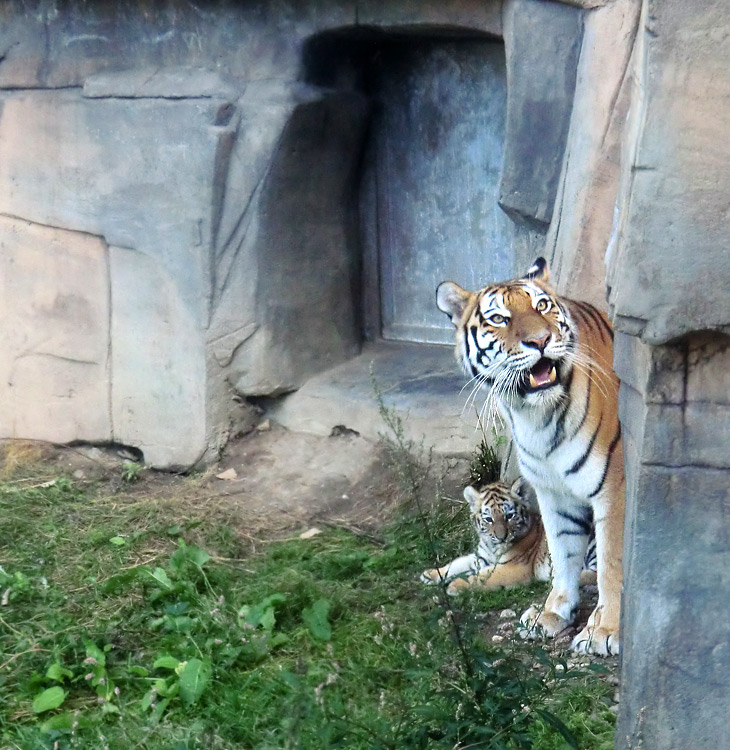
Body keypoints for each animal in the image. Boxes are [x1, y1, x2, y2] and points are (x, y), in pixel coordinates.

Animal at [436, 260, 624, 656]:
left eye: (542, 306)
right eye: (498, 318)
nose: (540, 341)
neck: (536, 416)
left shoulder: (614, 488)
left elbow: (612, 564)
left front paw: (605, 631)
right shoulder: (555, 493)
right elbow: (563, 554)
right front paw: (552, 614)